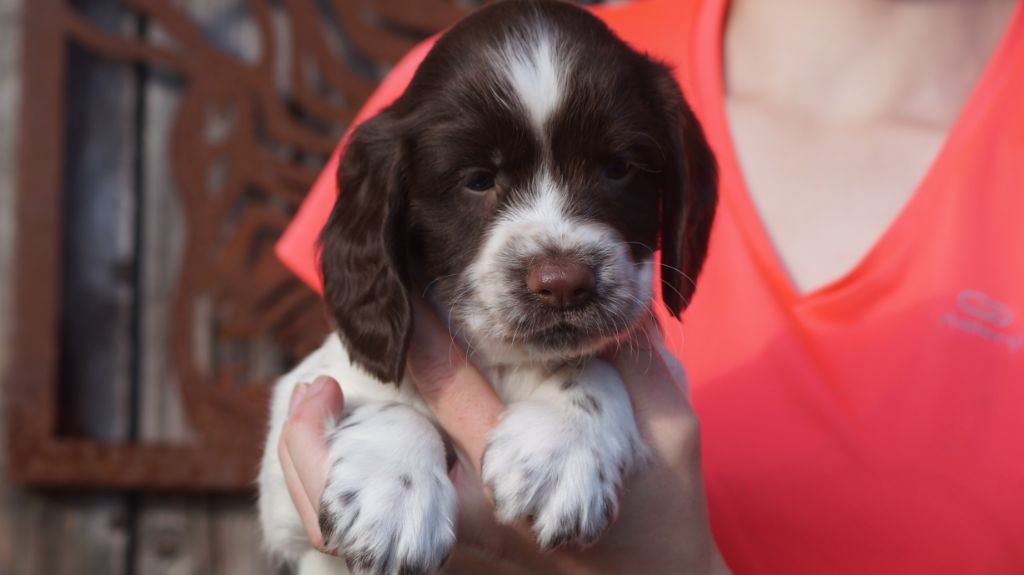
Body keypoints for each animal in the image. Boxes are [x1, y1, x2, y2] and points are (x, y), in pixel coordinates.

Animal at [260, 1, 716, 572]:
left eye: (618, 168)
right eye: (478, 179)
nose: (564, 284)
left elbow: (592, 362)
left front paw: (562, 445)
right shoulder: (286, 474)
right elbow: (384, 400)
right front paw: (393, 491)